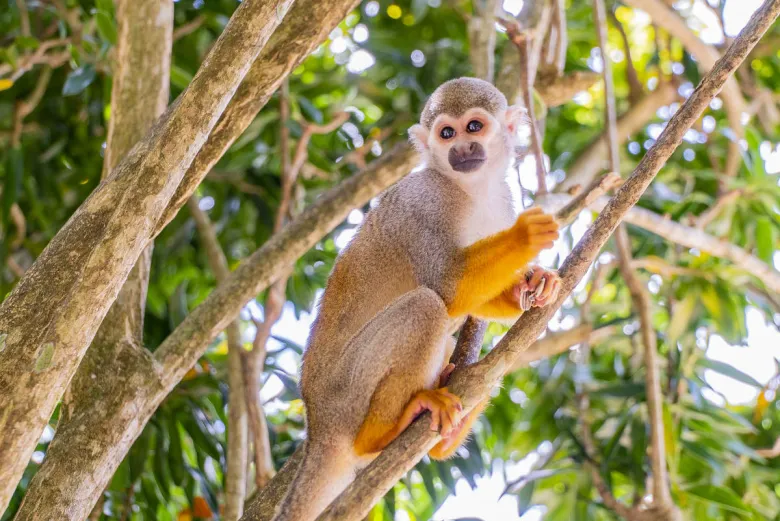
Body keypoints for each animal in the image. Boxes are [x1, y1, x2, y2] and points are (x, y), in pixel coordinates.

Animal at [271, 77, 561, 521]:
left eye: (473, 127)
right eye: (446, 134)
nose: (462, 149)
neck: (468, 189)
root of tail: (316, 426)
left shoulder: (502, 200)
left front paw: (533, 284)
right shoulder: (425, 202)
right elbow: (446, 286)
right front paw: (524, 237)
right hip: (346, 395)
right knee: (425, 307)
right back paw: (381, 433)